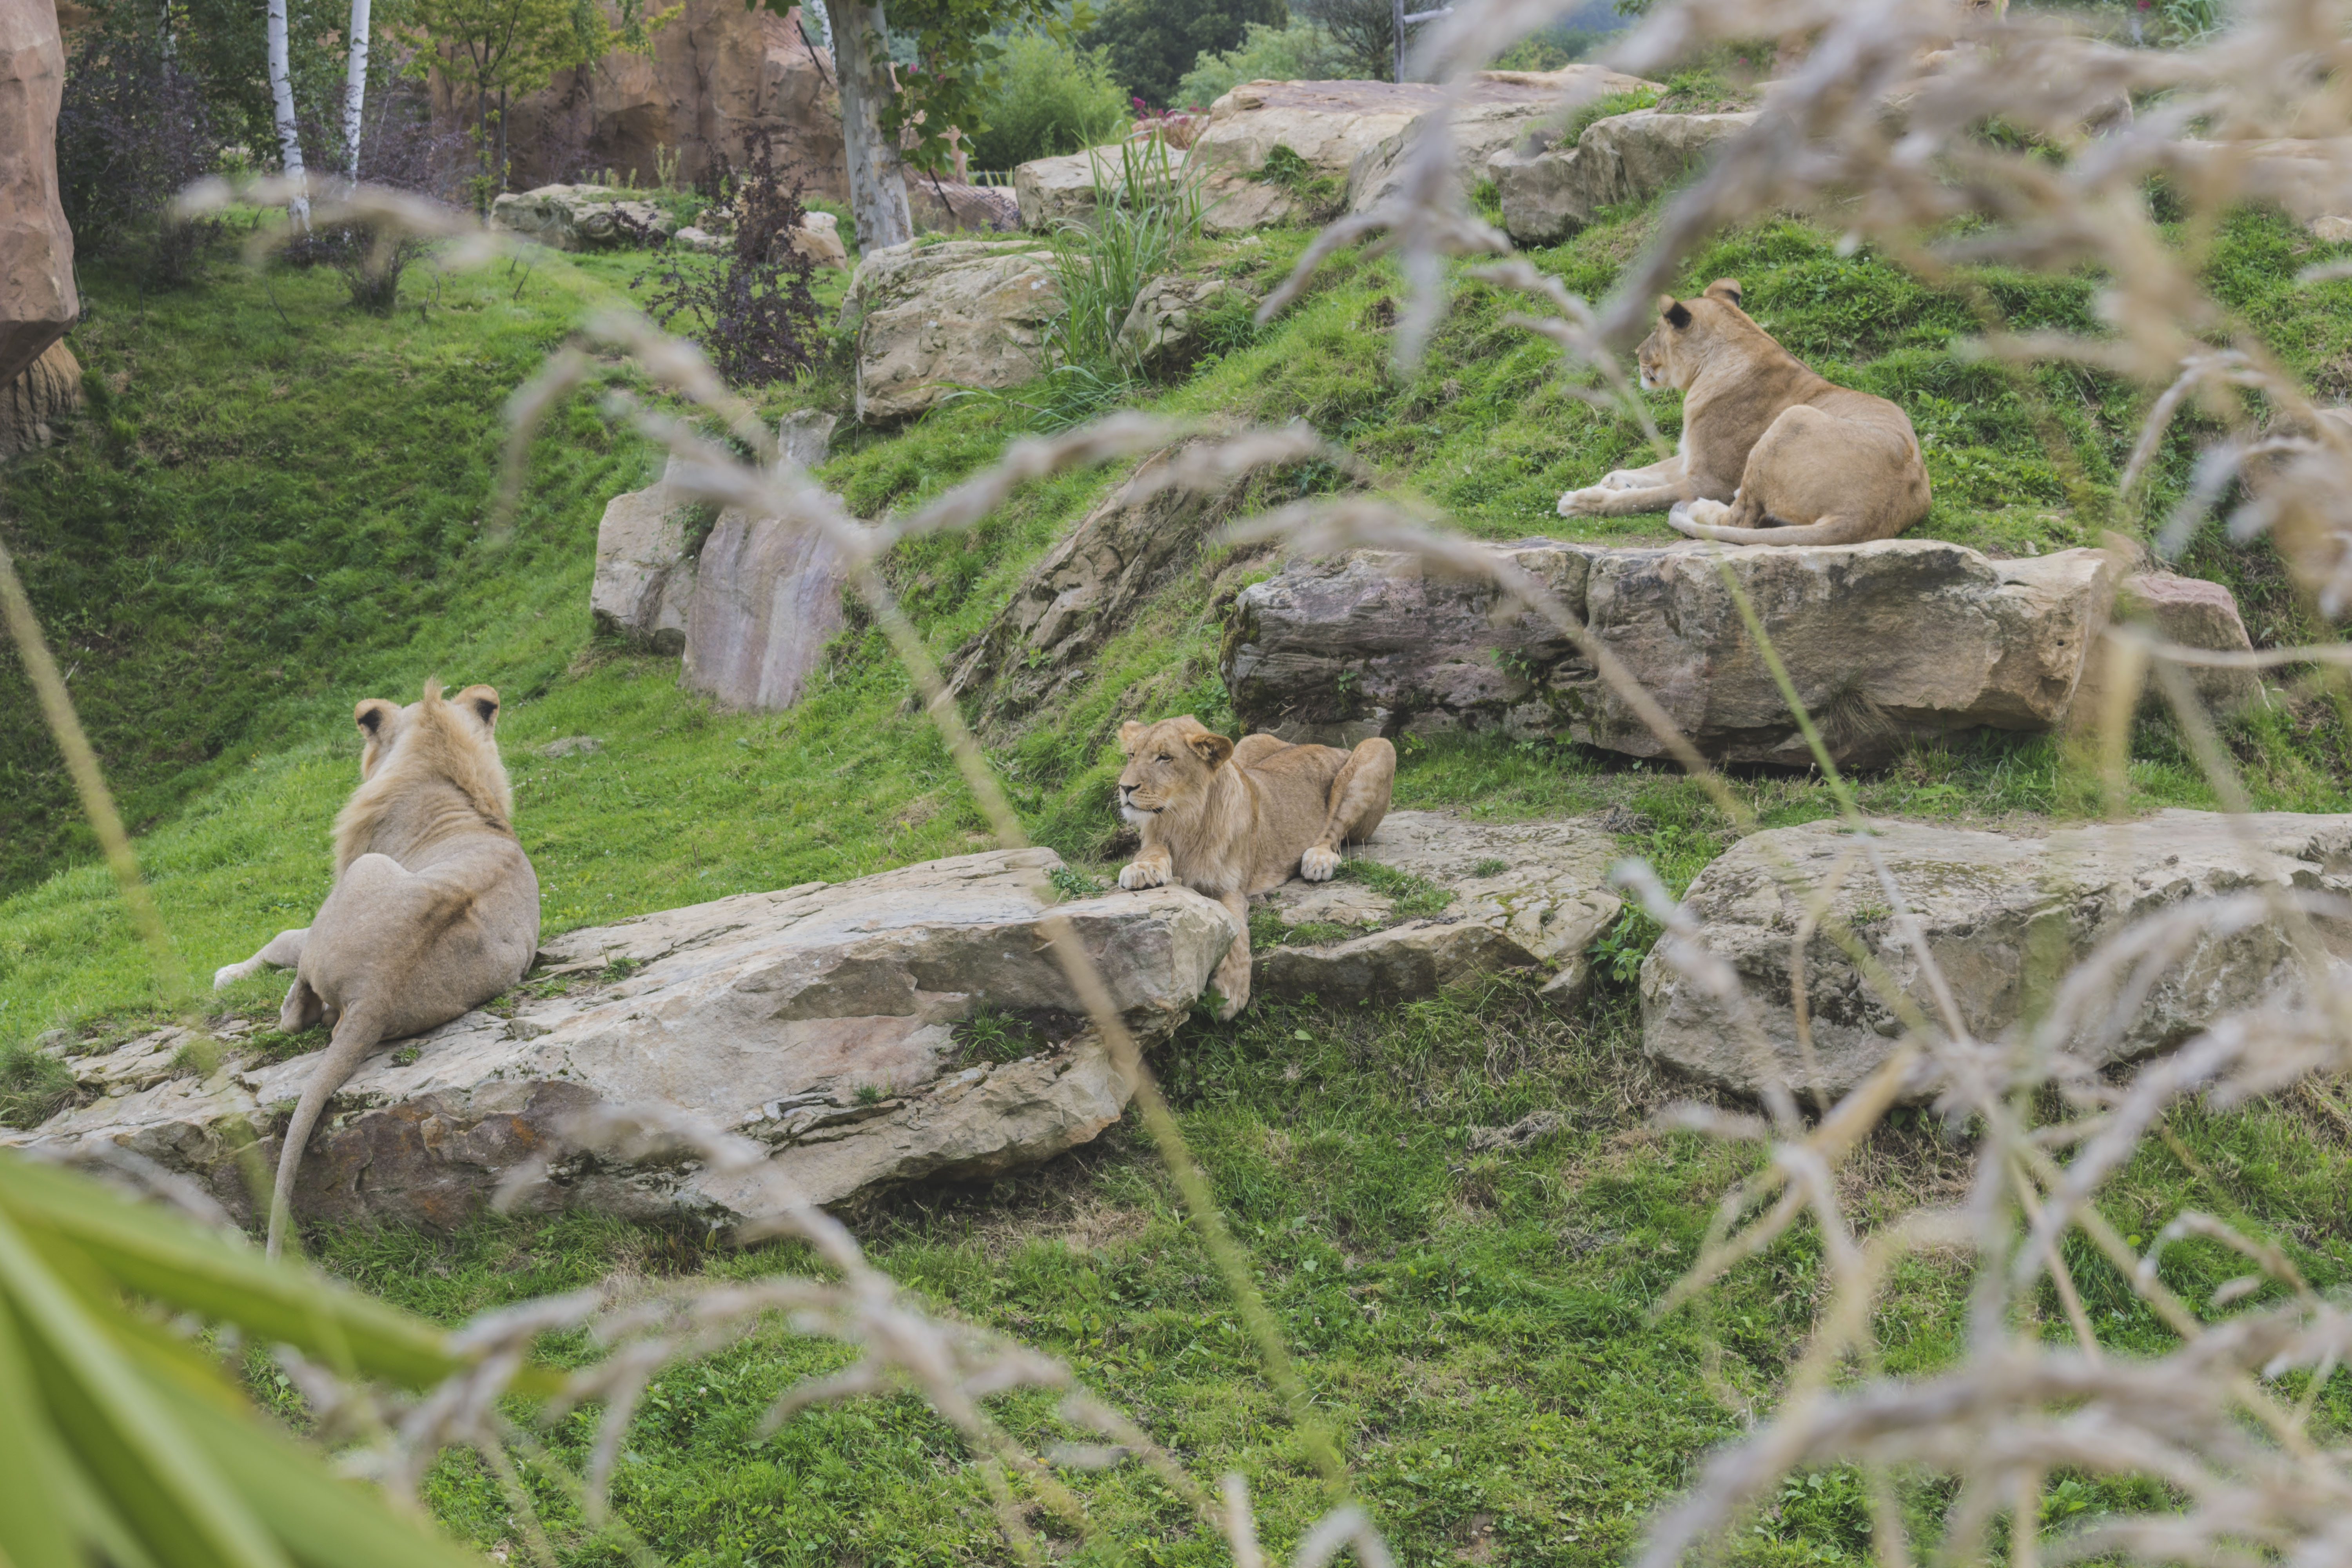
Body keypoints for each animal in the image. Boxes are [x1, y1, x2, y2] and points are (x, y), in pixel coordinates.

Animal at [213, 681, 540, 1258]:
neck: (448, 778)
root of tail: (378, 991)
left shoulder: (342, 876)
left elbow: (282, 940)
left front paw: (228, 974)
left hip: (367, 873)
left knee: (298, 1014)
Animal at [1113, 716, 1395, 1018]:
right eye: (1132, 756)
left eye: (1164, 758)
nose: (1124, 788)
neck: (1183, 821)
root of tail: (1326, 745)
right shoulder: (1156, 836)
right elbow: (1152, 850)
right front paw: (1142, 869)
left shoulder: (1230, 888)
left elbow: (1237, 928)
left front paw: (1231, 991)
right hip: (1250, 742)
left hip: (1379, 748)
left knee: (1334, 832)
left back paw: (1319, 859)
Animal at [1556, 279, 1932, 547]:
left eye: (1656, 331)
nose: (1636, 352)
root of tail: (1870, 516)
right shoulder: (1691, 457)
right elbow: (1653, 471)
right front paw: (1614, 480)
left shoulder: (1711, 479)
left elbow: (1645, 498)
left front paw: (1583, 502)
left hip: (1793, 419)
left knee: (1742, 518)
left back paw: (1702, 509)